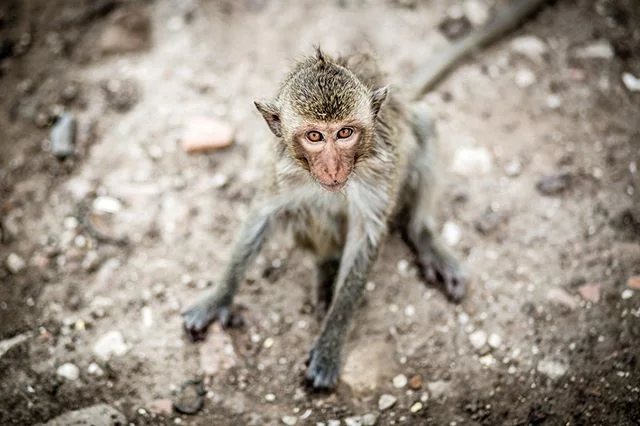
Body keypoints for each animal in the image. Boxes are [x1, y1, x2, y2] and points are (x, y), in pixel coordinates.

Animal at [182, 0, 550, 390]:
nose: (332, 169)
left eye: (345, 133)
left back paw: (421, 236)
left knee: (423, 124)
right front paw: (219, 297)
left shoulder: (379, 174)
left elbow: (365, 237)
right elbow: (263, 216)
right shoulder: (283, 173)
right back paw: (326, 267)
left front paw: (331, 343)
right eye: (314, 136)